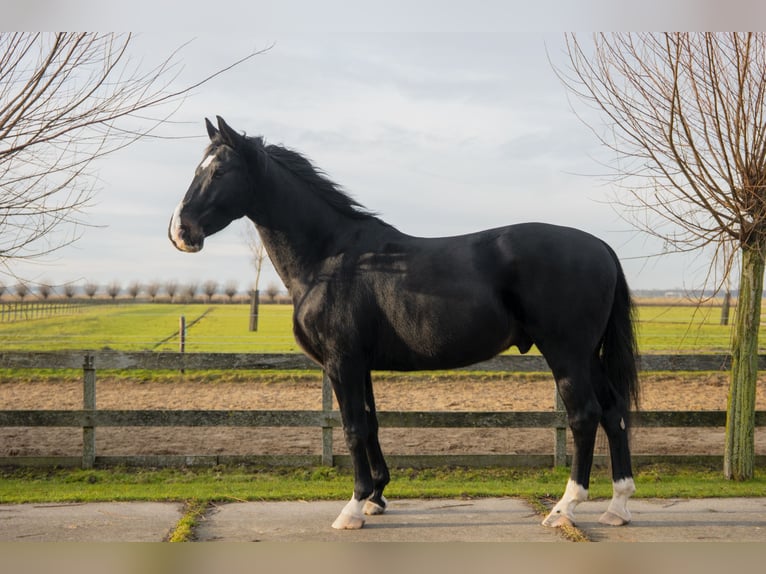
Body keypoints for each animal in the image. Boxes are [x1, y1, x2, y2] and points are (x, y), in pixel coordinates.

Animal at [169, 116, 640, 530]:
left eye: (220, 170)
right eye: (196, 169)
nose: (180, 232)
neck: (331, 257)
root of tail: (601, 246)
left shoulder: (342, 363)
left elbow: (353, 428)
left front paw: (352, 508)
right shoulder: (361, 365)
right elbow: (372, 423)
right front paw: (376, 497)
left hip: (567, 353)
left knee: (584, 416)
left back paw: (565, 508)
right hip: (588, 355)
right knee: (614, 411)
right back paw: (616, 507)